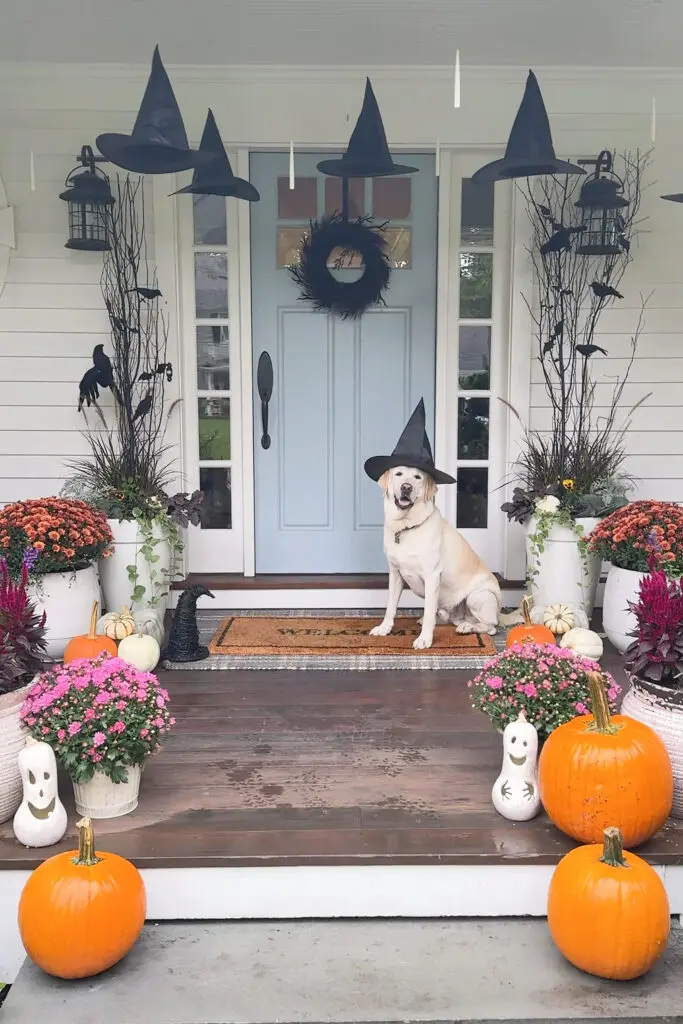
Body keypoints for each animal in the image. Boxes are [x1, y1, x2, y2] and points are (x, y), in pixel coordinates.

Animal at [368, 464, 501, 647]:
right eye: (398, 474)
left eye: (417, 477)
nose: (406, 487)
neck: (406, 527)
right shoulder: (395, 573)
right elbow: (390, 607)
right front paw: (384, 628)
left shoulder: (432, 576)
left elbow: (429, 610)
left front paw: (424, 639)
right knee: (452, 618)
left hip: (478, 596)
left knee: (490, 626)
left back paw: (467, 627)